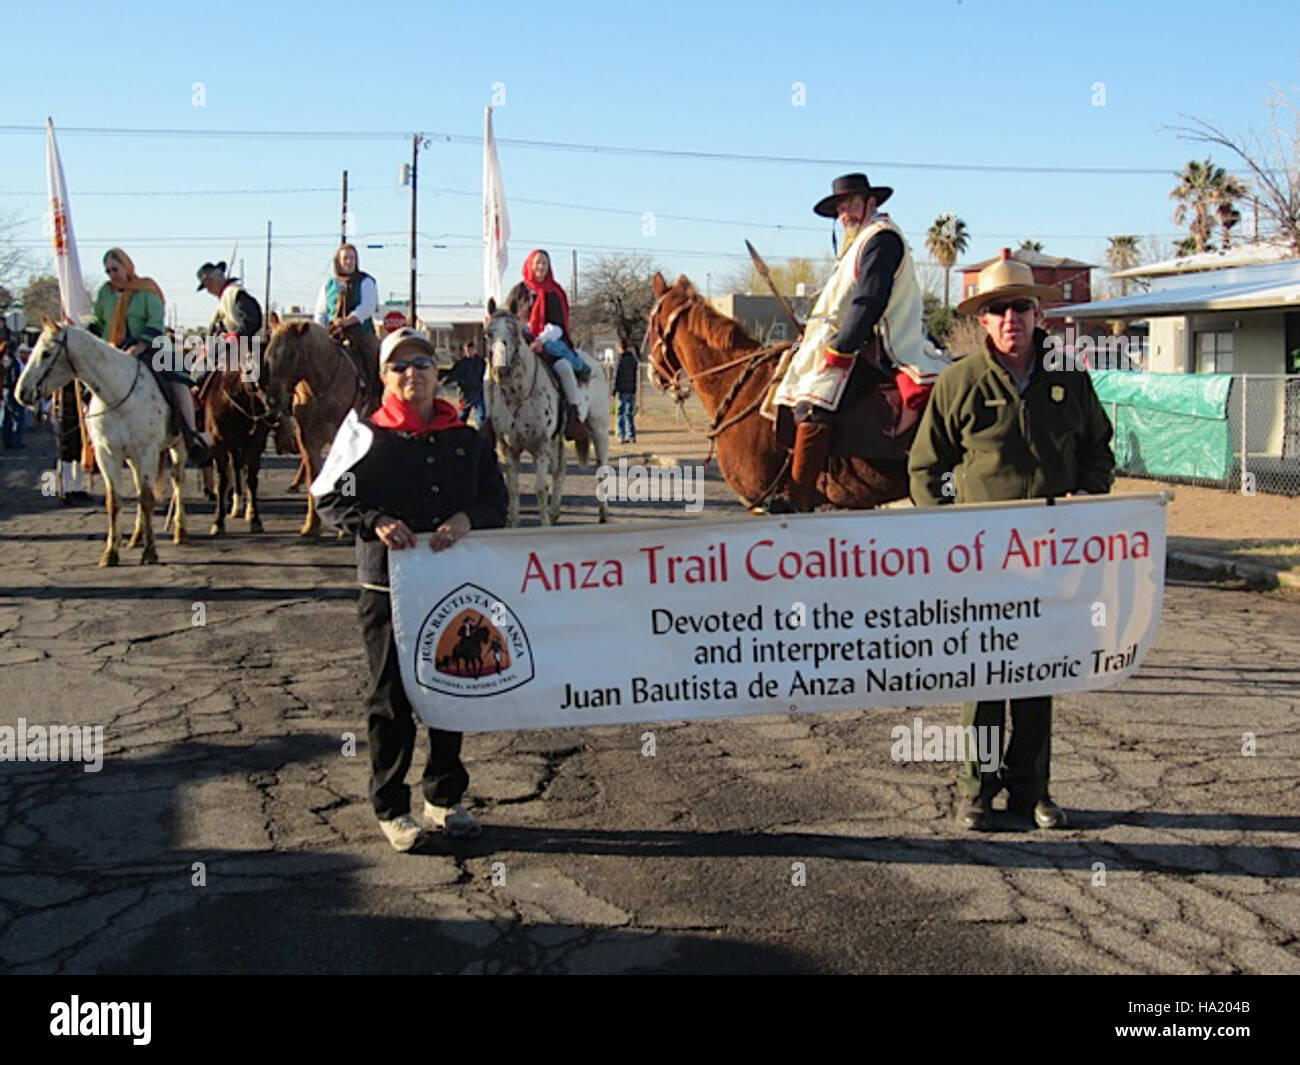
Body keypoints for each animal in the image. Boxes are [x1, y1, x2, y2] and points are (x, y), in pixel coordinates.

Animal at [262, 315, 369, 533]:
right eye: (268, 352)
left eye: (292, 354)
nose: (273, 401)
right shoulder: (307, 440)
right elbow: (314, 478)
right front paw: (311, 525)